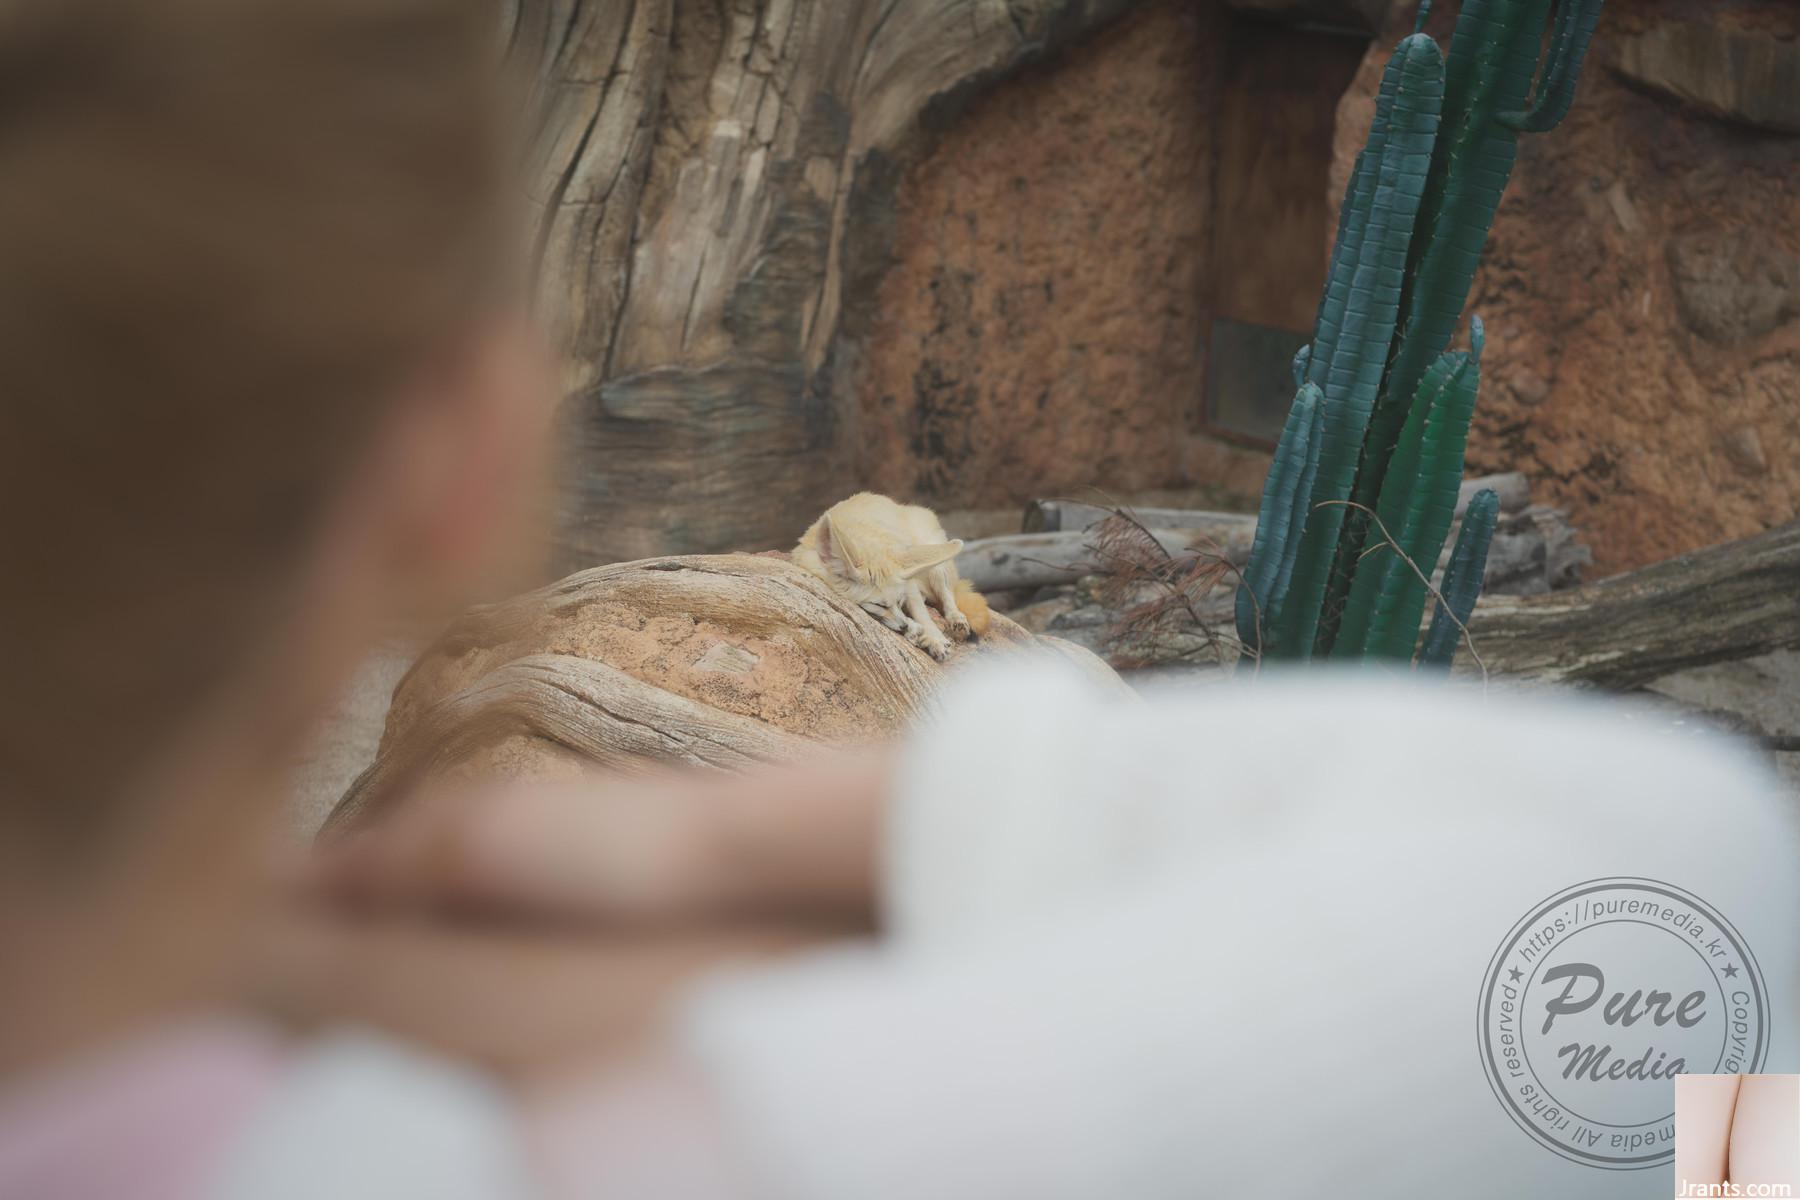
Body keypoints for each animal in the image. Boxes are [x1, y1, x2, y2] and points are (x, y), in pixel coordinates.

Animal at [795, 489, 993, 665]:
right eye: (879, 605)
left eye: (898, 601)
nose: (904, 626)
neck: (865, 540)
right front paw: (914, 630)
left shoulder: (907, 580)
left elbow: (920, 611)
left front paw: (933, 637)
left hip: (934, 559)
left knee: (947, 593)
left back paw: (955, 617)